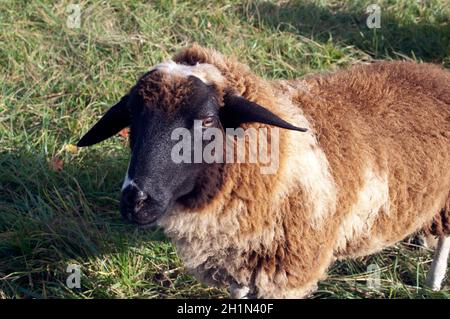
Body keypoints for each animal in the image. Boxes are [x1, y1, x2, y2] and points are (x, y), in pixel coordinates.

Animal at [77, 45, 450, 300]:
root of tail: (438, 73)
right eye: (130, 119)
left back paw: (433, 282)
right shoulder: (239, 262)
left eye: (208, 121)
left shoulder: (288, 275)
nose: (135, 200)